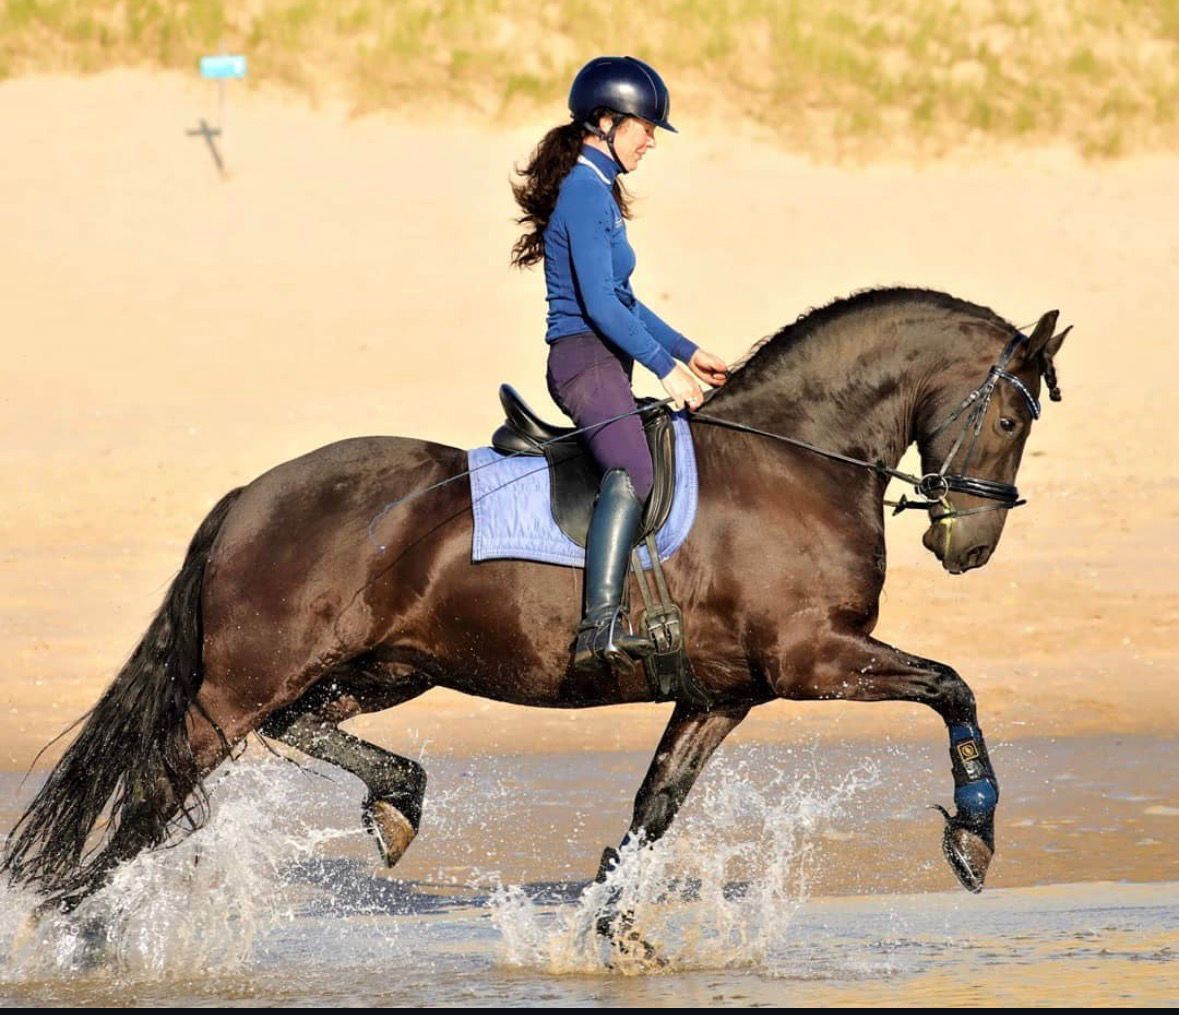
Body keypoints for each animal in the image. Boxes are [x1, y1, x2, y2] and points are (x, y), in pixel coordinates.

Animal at [3, 286, 1069, 914]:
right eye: (1010, 419)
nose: (967, 546)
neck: (796, 460)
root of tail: (249, 495)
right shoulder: (815, 656)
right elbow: (953, 685)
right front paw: (974, 833)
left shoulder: (721, 693)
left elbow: (655, 805)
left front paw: (608, 918)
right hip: (241, 686)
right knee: (161, 782)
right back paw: (81, 921)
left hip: (381, 668)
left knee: (302, 726)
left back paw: (397, 799)